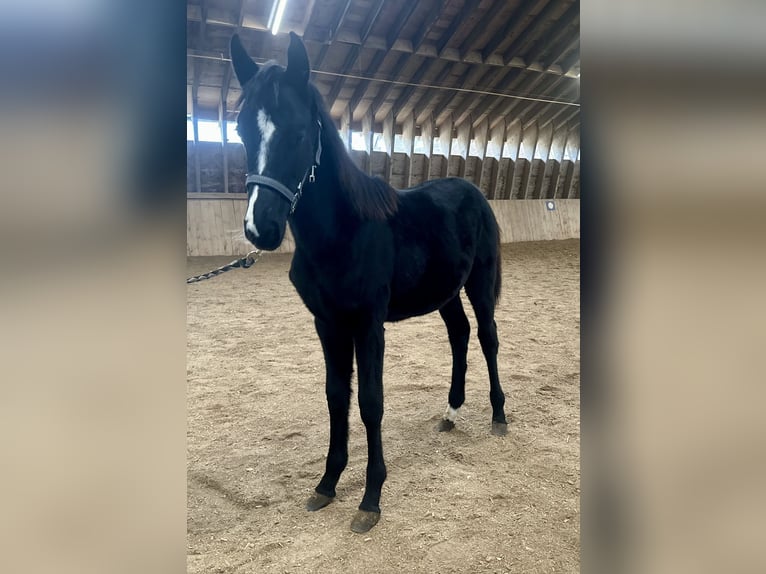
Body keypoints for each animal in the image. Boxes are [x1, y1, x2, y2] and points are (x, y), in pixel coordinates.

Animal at [232, 32, 510, 536]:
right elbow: (336, 397)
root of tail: (474, 191)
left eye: (299, 132)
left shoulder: (368, 324)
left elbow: (370, 402)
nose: (260, 228)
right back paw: (452, 412)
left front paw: (371, 498)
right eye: (243, 130)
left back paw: (499, 415)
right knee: (459, 335)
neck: (345, 231)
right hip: (444, 292)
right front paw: (327, 483)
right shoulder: (327, 324)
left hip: (479, 284)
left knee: (487, 337)